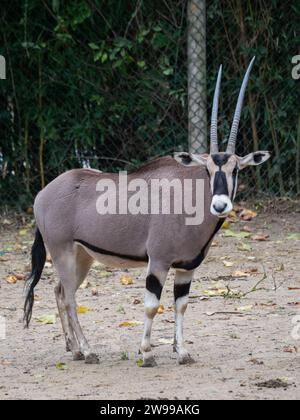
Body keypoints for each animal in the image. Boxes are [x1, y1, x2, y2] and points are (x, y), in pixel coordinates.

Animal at [25, 57, 270, 366]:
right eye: (207, 169)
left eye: (236, 169)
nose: (220, 205)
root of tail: (43, 193)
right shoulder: (159, 262)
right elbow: (152, 306)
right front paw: (147, 352)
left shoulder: (186, 267)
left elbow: (181, 306)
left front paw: (182, 351)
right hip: (62, 252)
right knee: (69, 296)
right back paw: (89, 351)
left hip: (82, 256)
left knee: (59, 291)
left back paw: (75, 348)